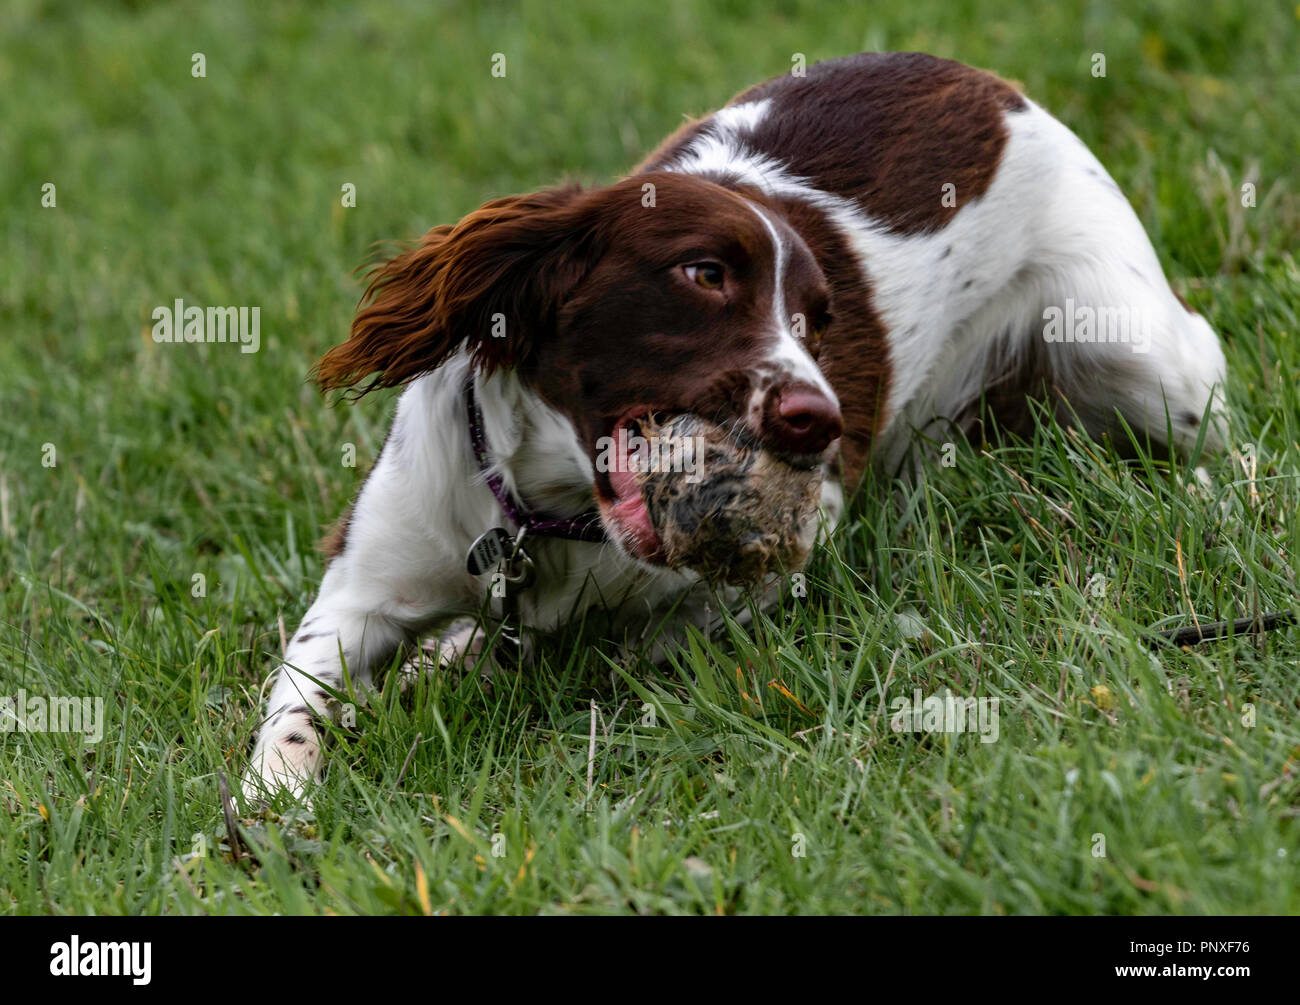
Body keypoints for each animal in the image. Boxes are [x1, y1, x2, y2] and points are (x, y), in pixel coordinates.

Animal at [244, 54, 1227, 795]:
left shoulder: (782, 553)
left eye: (816, 319)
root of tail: (987, 82)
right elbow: (296, 706)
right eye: (704, 273)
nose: (820, 421)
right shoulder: (368, 580)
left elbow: (638, 641)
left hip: (1134, 347)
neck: (550, 511)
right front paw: (268, 812)